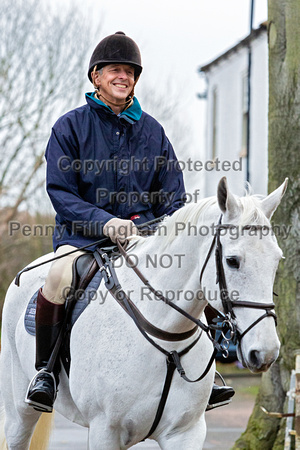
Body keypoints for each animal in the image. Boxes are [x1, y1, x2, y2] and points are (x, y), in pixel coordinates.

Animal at [0, 178, 288, 448]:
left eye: (277, 260)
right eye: (232, 261)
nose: (265, 352)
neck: (169, 340)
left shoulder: (186, 433)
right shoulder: (105, 431)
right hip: (18, 414)